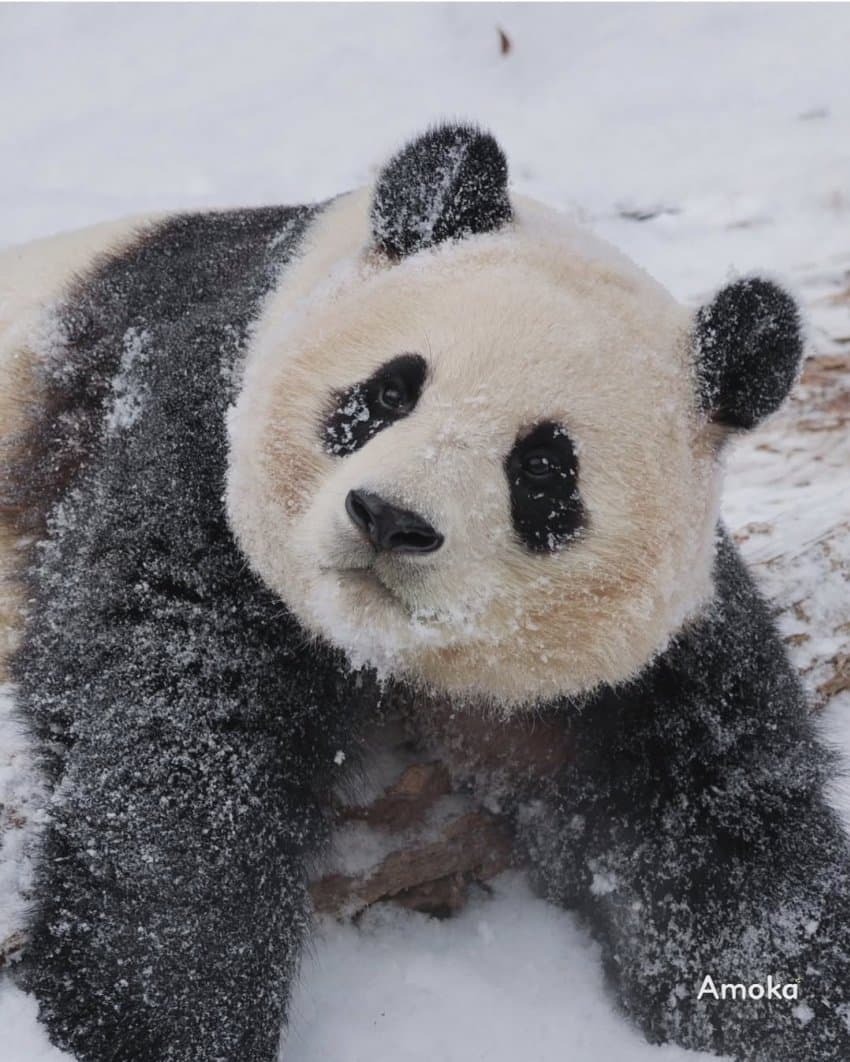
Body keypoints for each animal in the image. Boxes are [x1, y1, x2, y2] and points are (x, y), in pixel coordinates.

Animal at [0, 124, 845, 1062]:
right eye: (388, 392)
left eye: (543, 469)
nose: (389, 519)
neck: (384, 650)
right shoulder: (191, 442)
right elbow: (179, 739)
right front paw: (157, 1015)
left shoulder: (649, 655)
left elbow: (722, 831)